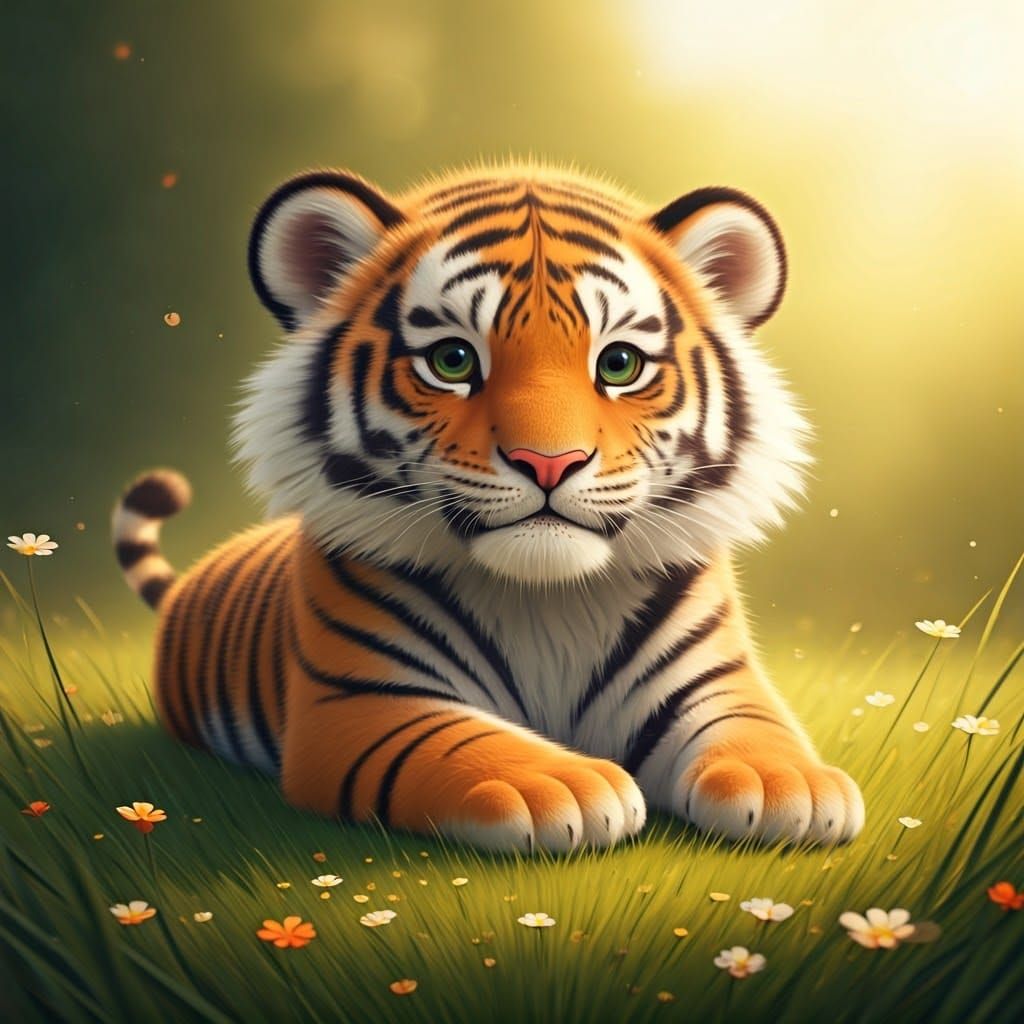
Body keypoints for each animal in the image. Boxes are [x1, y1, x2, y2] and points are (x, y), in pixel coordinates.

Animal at [111, 163, 864, 853]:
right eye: (452, 360)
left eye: (619, 364)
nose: (550, 462)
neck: (547, 599)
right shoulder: (362, 704)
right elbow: (458, 741)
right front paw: (562, 785)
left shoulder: (715, 681)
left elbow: (753, 729)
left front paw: (789, 785)